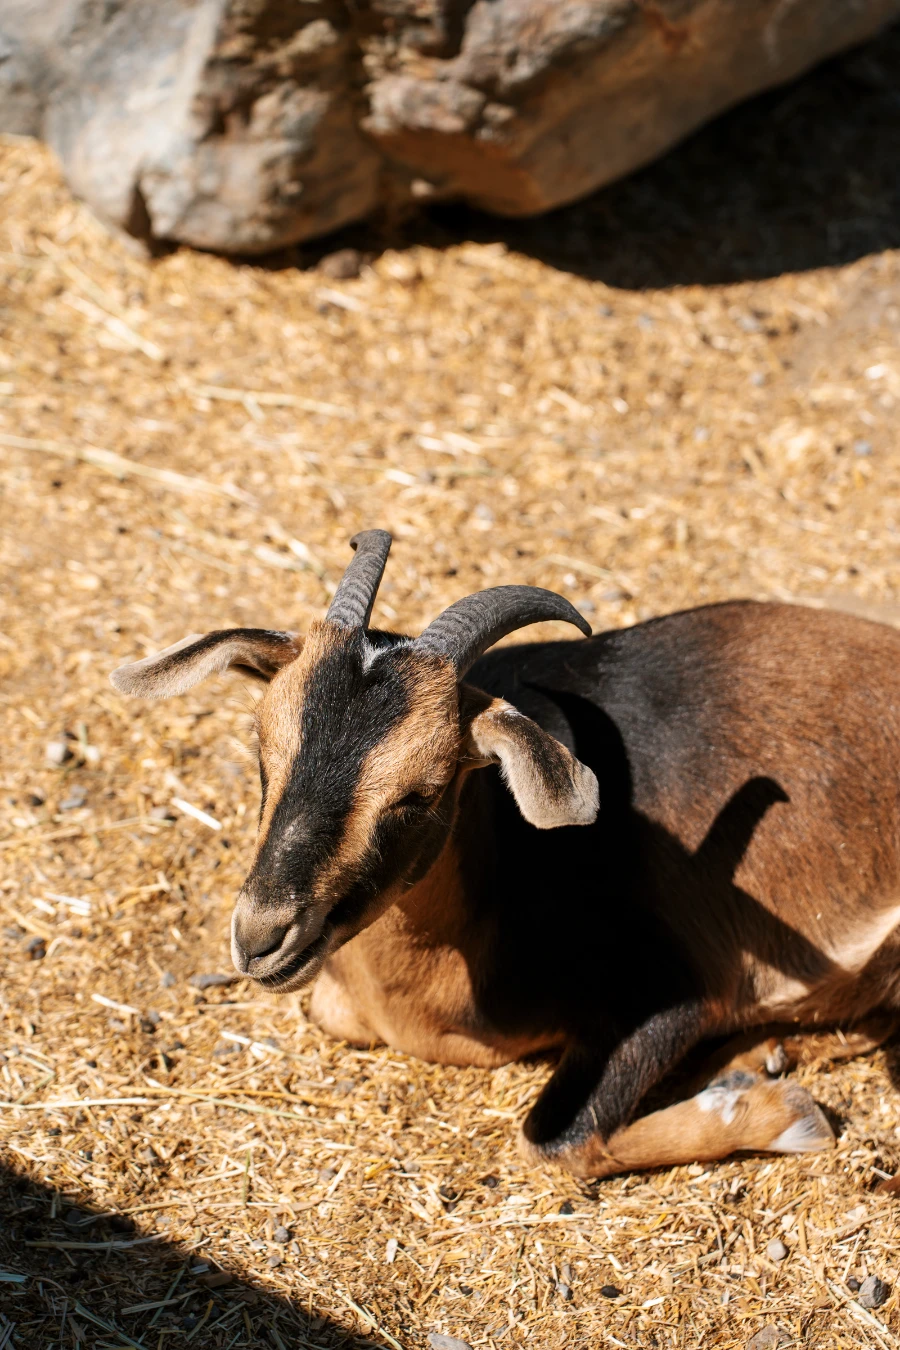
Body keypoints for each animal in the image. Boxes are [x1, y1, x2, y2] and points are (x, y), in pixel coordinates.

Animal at [111, 530, 900, 1177]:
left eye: (422, 791)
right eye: (262, 753)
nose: (262, 937)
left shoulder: (673, 991)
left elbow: (555, 1139)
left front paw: (789, 1117)